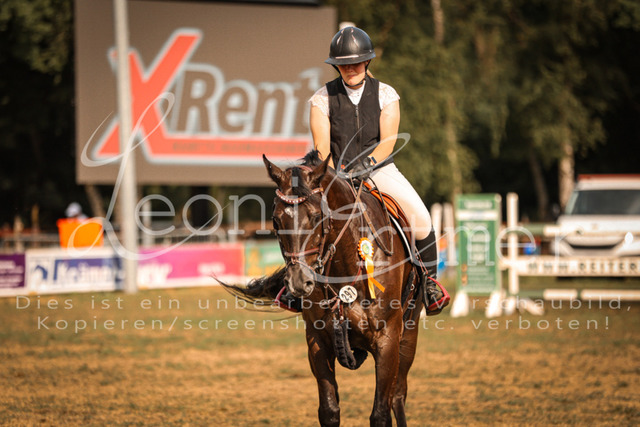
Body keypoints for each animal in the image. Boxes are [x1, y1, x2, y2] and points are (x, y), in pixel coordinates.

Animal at [222, 151, 429, 427]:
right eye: (276, 220)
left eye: (316, 217)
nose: (299, 282)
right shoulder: (318, 341)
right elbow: (329, 411)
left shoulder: (387, 341)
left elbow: (381, 414)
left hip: (409, 333)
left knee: (398, 394)